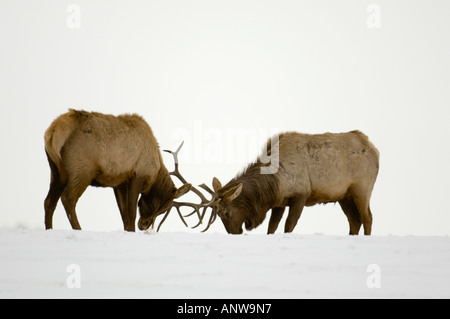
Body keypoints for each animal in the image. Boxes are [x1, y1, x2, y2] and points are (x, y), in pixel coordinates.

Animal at [44, 110, 192, 232]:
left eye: (163, 210)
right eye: (161, 207)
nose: (144, 225)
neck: (155, 174)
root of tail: (54, 129)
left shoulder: (119, 183)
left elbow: (124, 216)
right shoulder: (137, 175)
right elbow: (131, 214)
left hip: (56, 170)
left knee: (49, 201)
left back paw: (49, 228)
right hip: (82, 170)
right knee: (68, 199)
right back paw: (79, 229)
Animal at [186, 130, 380, 235]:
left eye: (226, 213)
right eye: (218, 215)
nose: (234, 233)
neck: (274, 182)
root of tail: (374, 149)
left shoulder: (301, 195)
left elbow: (288, 225)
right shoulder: (279, 201)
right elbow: (272, 227)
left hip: (362, 188)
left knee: (367, 217)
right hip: (344, 196)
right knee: (354, 220)